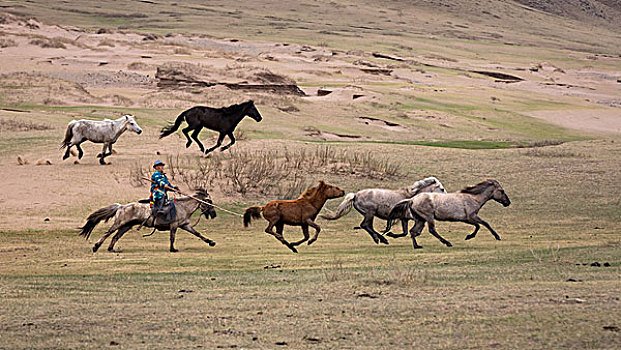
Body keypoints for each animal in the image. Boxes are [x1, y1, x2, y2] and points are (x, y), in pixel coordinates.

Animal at [78, 189, 217, 252]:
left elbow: (198, 234)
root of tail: (121, 206)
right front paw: (172, 249)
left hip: (126, 226)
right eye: (208, 201)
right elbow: (172, 237)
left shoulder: (185, 225)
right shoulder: (174, 225)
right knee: (108, 233)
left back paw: (111, 249)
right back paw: (96, 247)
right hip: (119, 224)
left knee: (115, 237)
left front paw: (211, 242)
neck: (183, 207)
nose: (214, 214)